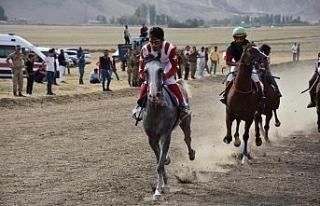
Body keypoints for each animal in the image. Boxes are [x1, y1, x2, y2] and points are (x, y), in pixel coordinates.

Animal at [142, 54, 195, 200]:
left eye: (160, 70)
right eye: (145, 71)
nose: (153, 95)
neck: (156, 110)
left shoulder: (166, 135)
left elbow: (159, 164)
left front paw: (158, 191)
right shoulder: (152, 138)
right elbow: (159, 159)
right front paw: (164, 183)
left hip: (185, 121)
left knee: (187, 138)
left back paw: (191, 154)